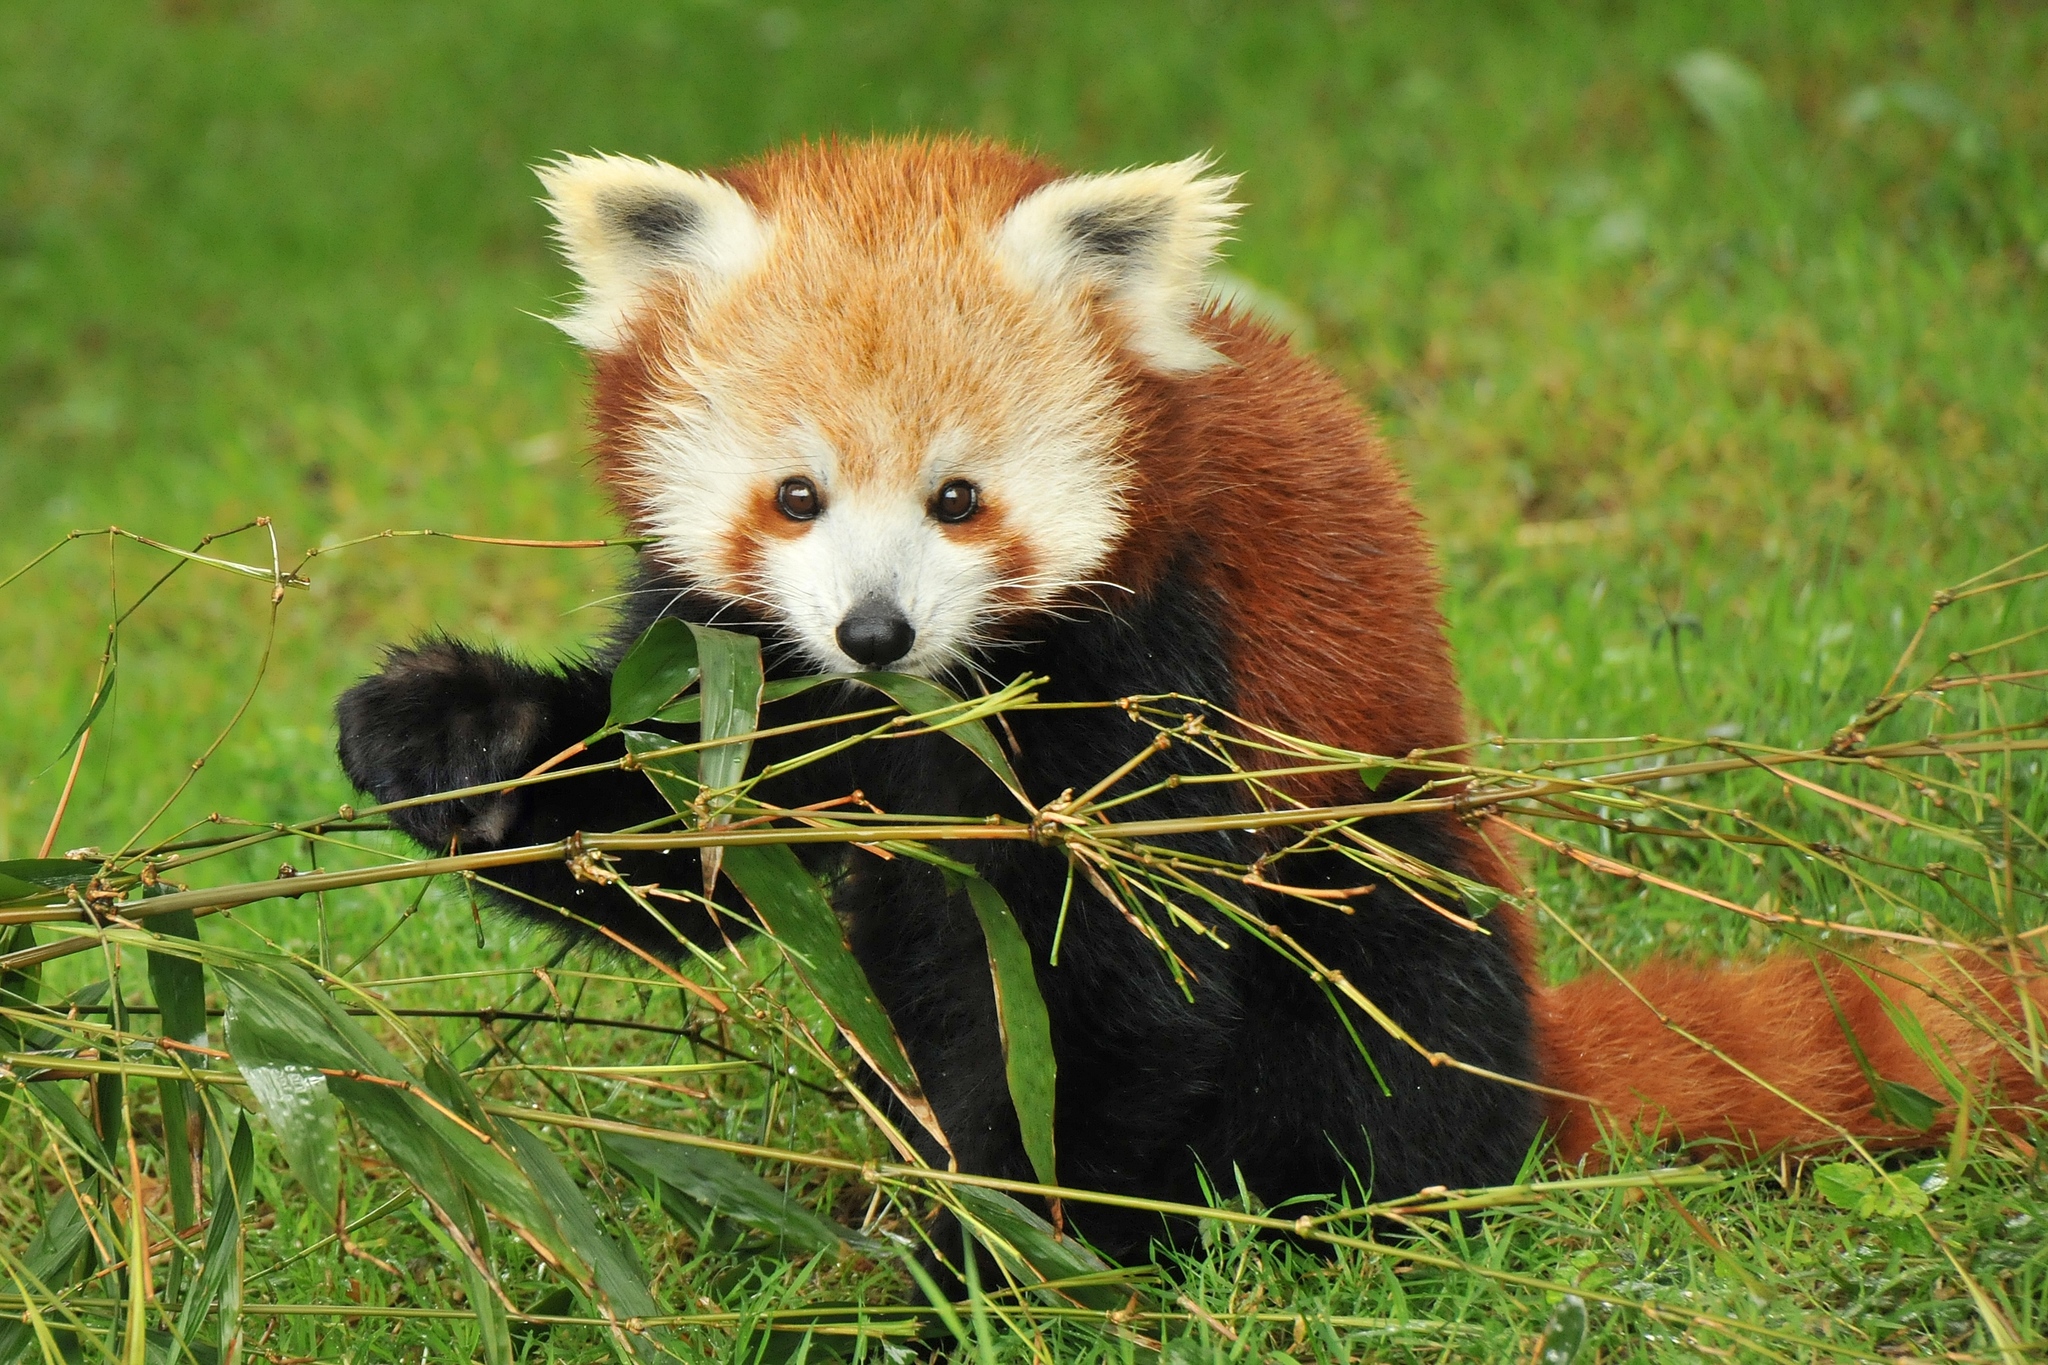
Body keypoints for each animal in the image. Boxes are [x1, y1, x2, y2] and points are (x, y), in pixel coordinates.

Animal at [339, 136, 2048, 1260]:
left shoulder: (1160, 666)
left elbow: (1121, 984)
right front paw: (449, 736)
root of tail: (1533, 1073)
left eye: (960, 499)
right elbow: (679, 850)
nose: (878, 631)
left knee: (1360, 1013)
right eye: (796, 495)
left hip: (1394, 895)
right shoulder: (740, 667)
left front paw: (1016, 1239)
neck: (924, 710)